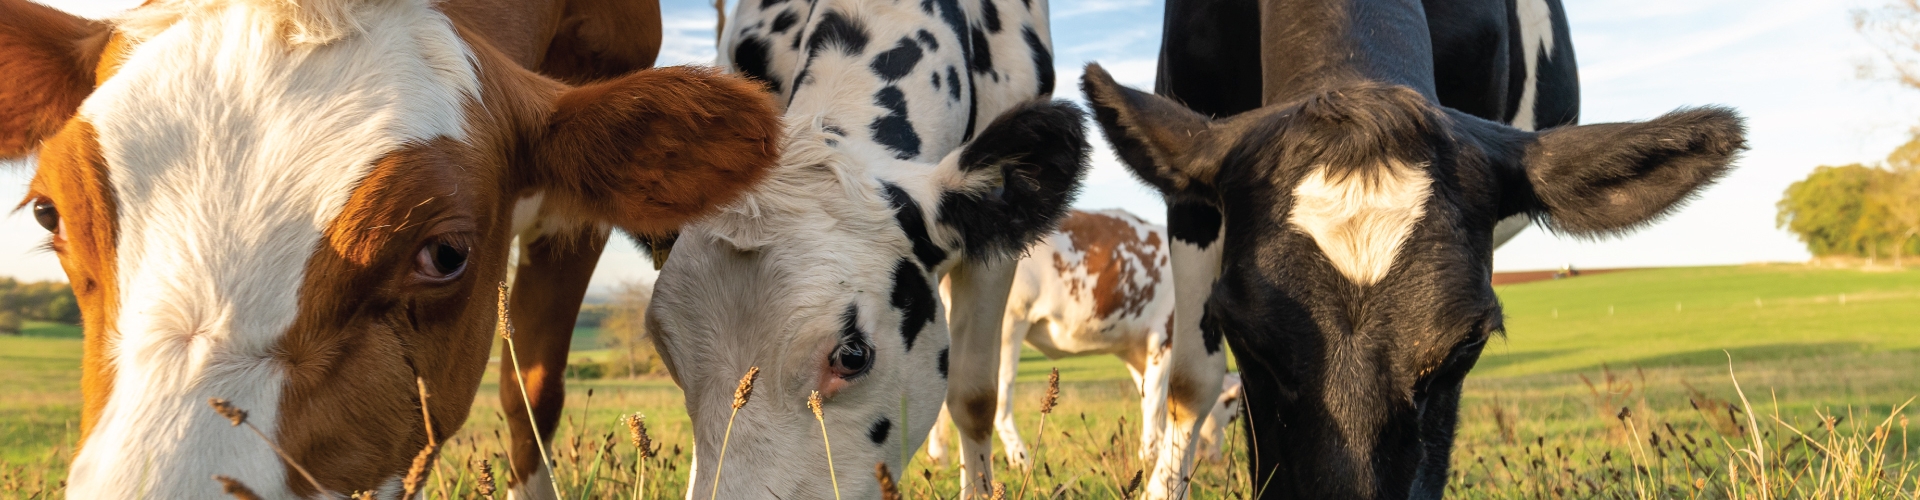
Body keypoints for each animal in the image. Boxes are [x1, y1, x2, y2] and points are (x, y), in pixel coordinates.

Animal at [920, 209, 1238, 487]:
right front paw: (1151, 457)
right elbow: (1156, 401)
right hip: (1008, 322)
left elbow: (1151, 398)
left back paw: (940, 457)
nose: (1215, 458)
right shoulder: (1166, 335)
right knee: (997, 399)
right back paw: (1022, 460)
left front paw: (1157, 450)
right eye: (1233, 414)